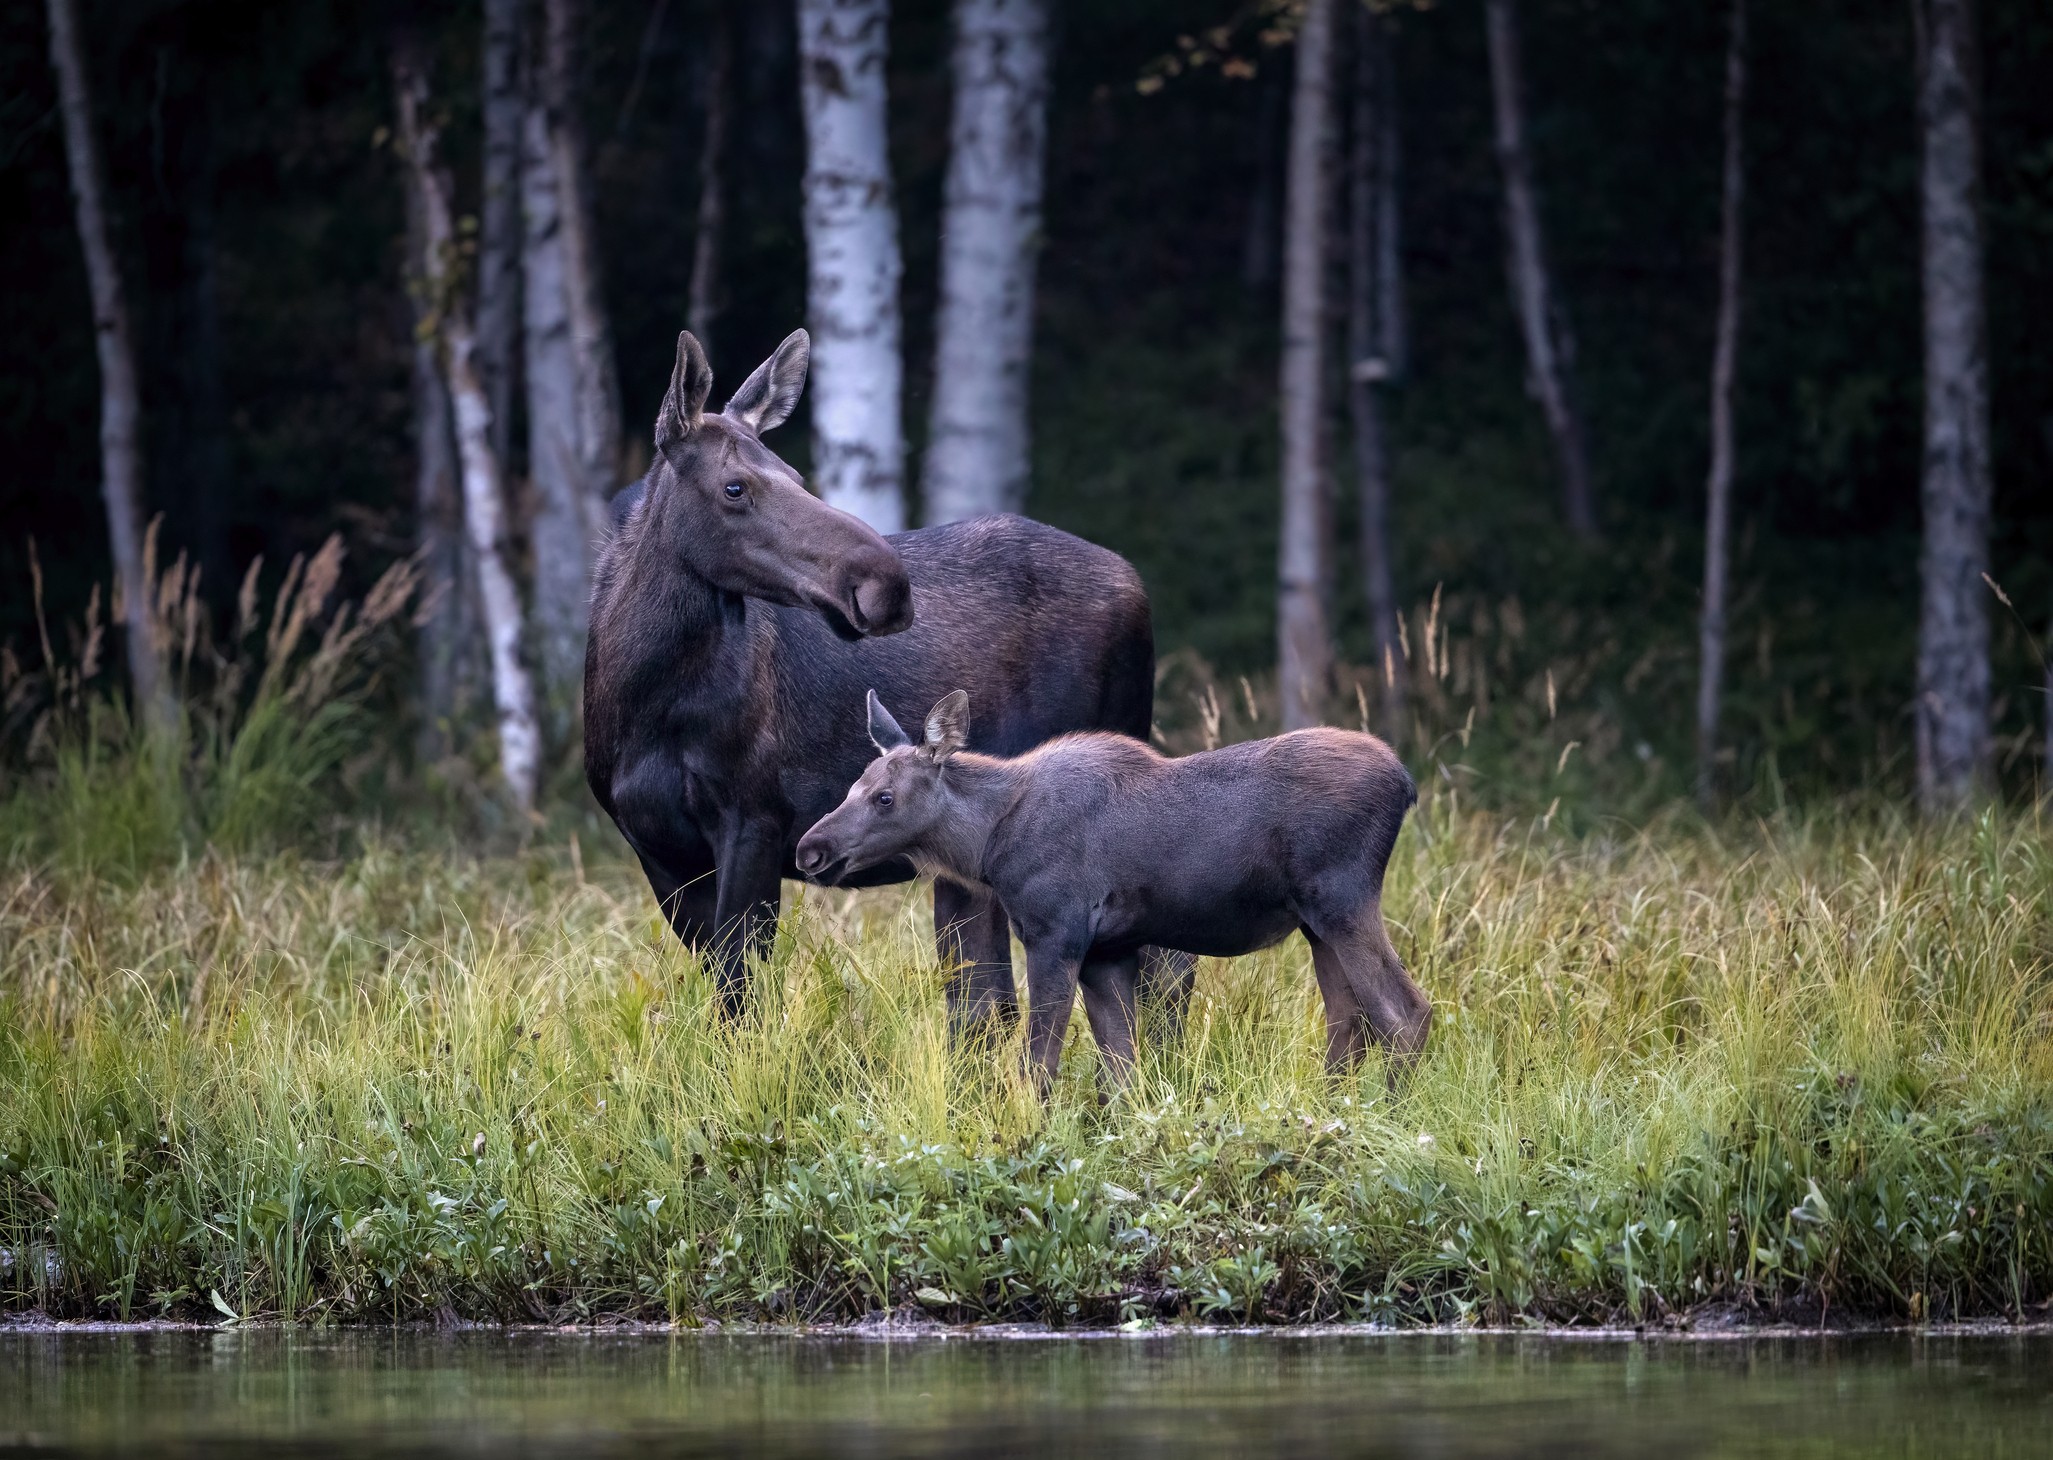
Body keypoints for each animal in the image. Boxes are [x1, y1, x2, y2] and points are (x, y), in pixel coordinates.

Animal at [583, 326, 1190, 1022]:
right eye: (735, 486)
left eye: (796, 475)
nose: (887, 585)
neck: (647, 701)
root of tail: (1136, 583)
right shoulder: (653, 845)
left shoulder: (754, 818)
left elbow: (742, 989)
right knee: (988, 997)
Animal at [792, 689, 1437, 1100]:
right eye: (853, 785)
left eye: (885, 797)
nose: (810, 849)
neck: (988, 844)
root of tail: (1407, 784)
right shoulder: (1107, 951)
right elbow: (1121, 1075)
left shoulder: (1057, 933)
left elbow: (1038, 1066)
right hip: (1314, 921)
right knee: (1348, 1021)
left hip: (1343, 899)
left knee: (1404, 1013)